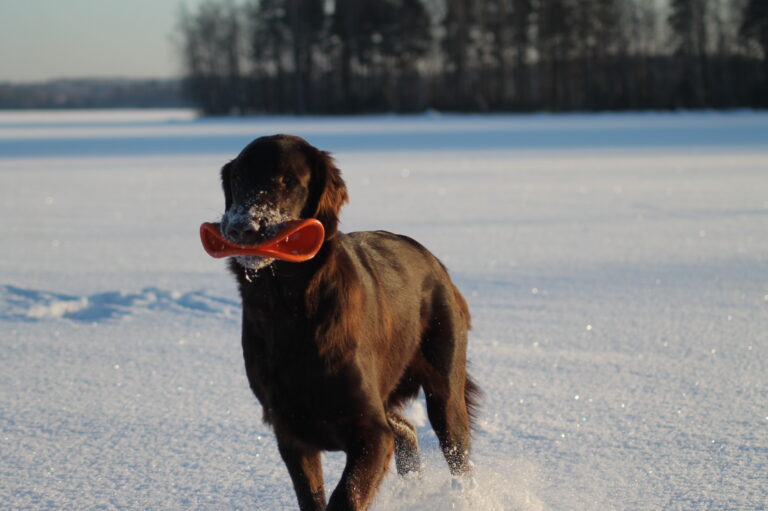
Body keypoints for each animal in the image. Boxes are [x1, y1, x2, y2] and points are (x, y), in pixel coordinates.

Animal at [218, 134, 480, 510]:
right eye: (238, 177)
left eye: (288, 179)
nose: (242, 226)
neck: (290, 308)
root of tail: (433, 260)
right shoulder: (291, 433)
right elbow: (313, 497)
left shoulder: (370, 431)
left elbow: (347, 495)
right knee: (406, 428)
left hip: (445, 391)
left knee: (459, 456)